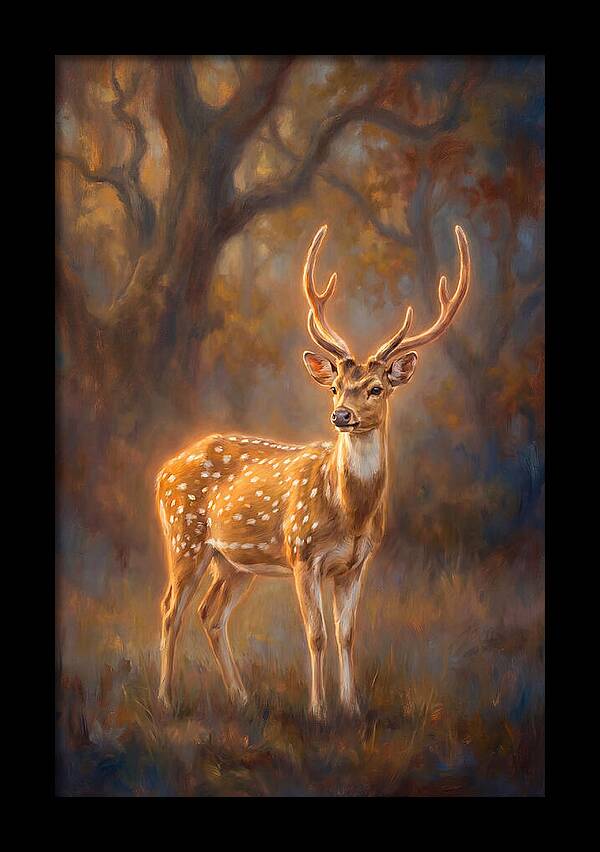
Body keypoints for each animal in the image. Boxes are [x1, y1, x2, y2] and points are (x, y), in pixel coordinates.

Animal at [155, 223, 471, 719]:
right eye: (336, 386)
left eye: (376, 388)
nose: (341, 415)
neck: (350, 513)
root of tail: (163, 470)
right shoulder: (302, 554)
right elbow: (316, 634)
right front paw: (319, 710)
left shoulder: (356, 565)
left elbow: (346, 634)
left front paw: (352, 707)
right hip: (184, 536)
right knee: (171, 608)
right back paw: (167, 699)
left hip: (233, 562)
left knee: (210, 613)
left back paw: (242, 697)